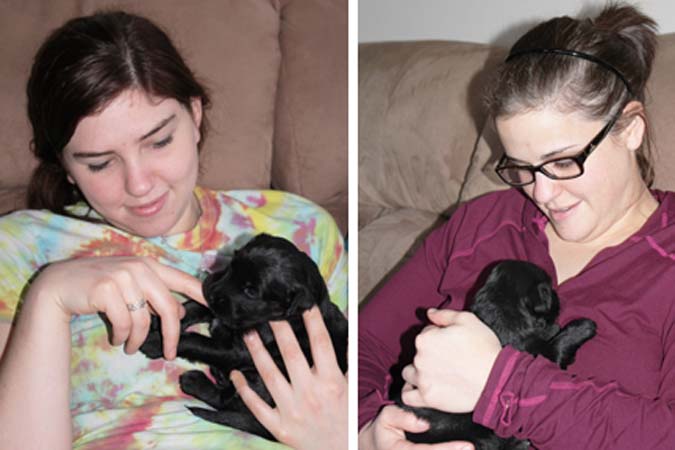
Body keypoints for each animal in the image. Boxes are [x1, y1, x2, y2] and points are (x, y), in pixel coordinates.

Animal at [139, 232, 346, 440]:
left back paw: (196, 382)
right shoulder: (219, 311)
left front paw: (155, 342)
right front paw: (161, 321)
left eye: (251, 291)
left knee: (229, 401)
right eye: (232, 263)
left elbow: (198, 342)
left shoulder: (238, 350)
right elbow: (194, 306)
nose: (211, 292)